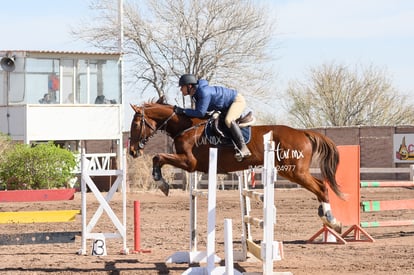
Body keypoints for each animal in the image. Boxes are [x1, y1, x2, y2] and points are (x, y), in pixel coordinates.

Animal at [129, 97, 342, 233]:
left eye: (136, 125)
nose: (132, 151)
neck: (187, 126)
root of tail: (303, 133)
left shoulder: (189, 163)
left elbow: (158, 157)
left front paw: (162, 184)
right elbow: (158, 158)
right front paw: (162, 183)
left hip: (294, 171)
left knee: (320, 187)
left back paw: (333, 221)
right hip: (296, 172)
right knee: (320, 185)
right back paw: (325, 215)